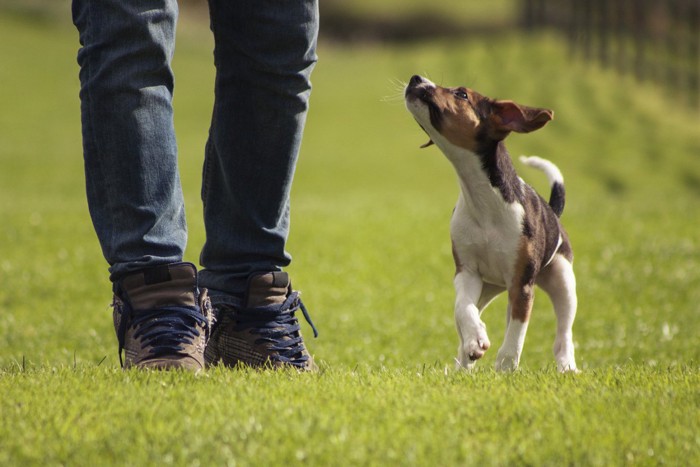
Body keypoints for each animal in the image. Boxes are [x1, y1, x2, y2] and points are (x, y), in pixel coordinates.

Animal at [408, 75, 576, 372]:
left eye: (461, 94)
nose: (416, 78)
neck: (483, 200)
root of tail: (554, 212)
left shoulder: (522, 285)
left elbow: (516, 333)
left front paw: (506, 367)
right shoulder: (467, 273)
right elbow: (464, 309)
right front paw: (476, 340)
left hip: (562, 280)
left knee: (563, 334)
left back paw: (567, 366)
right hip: (490, 287)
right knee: (466, 316)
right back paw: (463, 362)